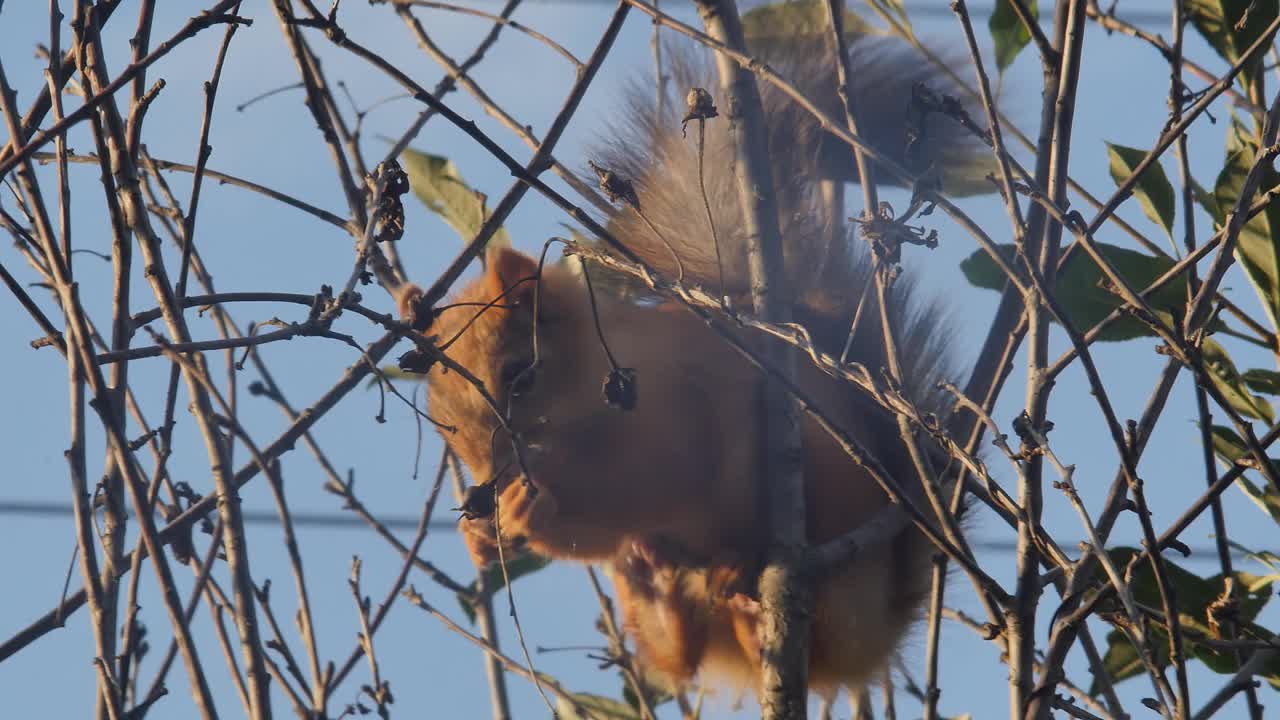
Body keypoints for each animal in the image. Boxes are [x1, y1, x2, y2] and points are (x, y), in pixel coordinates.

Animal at [399, 37, 977, 696]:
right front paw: (479, 538)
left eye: (522, 375)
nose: (487, 478)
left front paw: (530, 508)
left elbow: (655, 475)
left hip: (828, 499)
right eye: (440, 417)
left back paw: (740, 580)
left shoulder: (677, 403)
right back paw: (655, 592)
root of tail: (876, 632)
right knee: (681, 653)